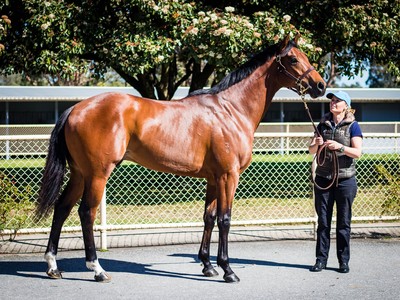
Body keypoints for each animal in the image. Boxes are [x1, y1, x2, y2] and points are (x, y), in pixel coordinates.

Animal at [36, 35, 324, 284]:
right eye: (294, 59)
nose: (320, 85)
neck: (230, 110)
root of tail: (76, 108)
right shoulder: (228, 176)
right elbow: (225, 219)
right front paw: (228, 270)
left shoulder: (213, 178)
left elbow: (209, 217)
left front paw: (207, 265)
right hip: (97, 174)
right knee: (87, 212)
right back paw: (97, 269)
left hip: (79, 174)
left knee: (61, 209)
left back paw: (53, 267)